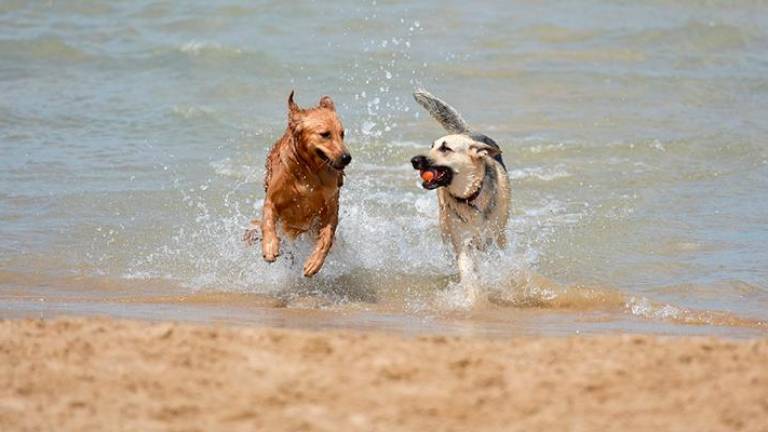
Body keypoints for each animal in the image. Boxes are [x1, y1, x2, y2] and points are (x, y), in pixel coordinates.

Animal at [243, 91, 352, 276]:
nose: (347, 157)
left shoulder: (331, 207)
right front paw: (270, 247)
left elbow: (327, 236)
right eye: (325, 134)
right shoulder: (273, 199)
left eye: (342, 133)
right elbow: (267, 221)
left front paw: (315, 262)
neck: (309, 172)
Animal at [408, 89, 510, 296]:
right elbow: (468, 272)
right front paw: (472, 295)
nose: (414, 160)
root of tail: (467, 133)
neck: (470, 196)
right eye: (431, 146)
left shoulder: (494, 239)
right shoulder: (463, 243)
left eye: (445, 148)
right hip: (446, 230)